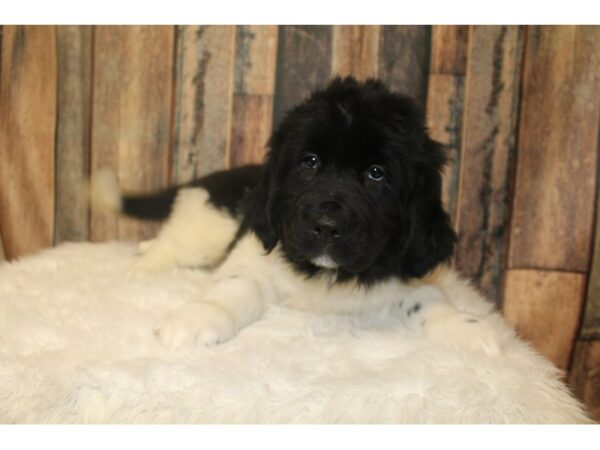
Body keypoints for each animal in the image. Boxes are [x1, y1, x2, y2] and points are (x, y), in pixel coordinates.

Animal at [90, 76, 502, 356]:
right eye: (310, 162)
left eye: (376, 173)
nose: (326, 227)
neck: (329, 277)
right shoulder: (254, 254)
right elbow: (234, 288)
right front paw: (195, 319)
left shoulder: (408, 269)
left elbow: (429, 298)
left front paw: (471, 329)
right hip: (206, 226)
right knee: (171, 243)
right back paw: (142, 268)